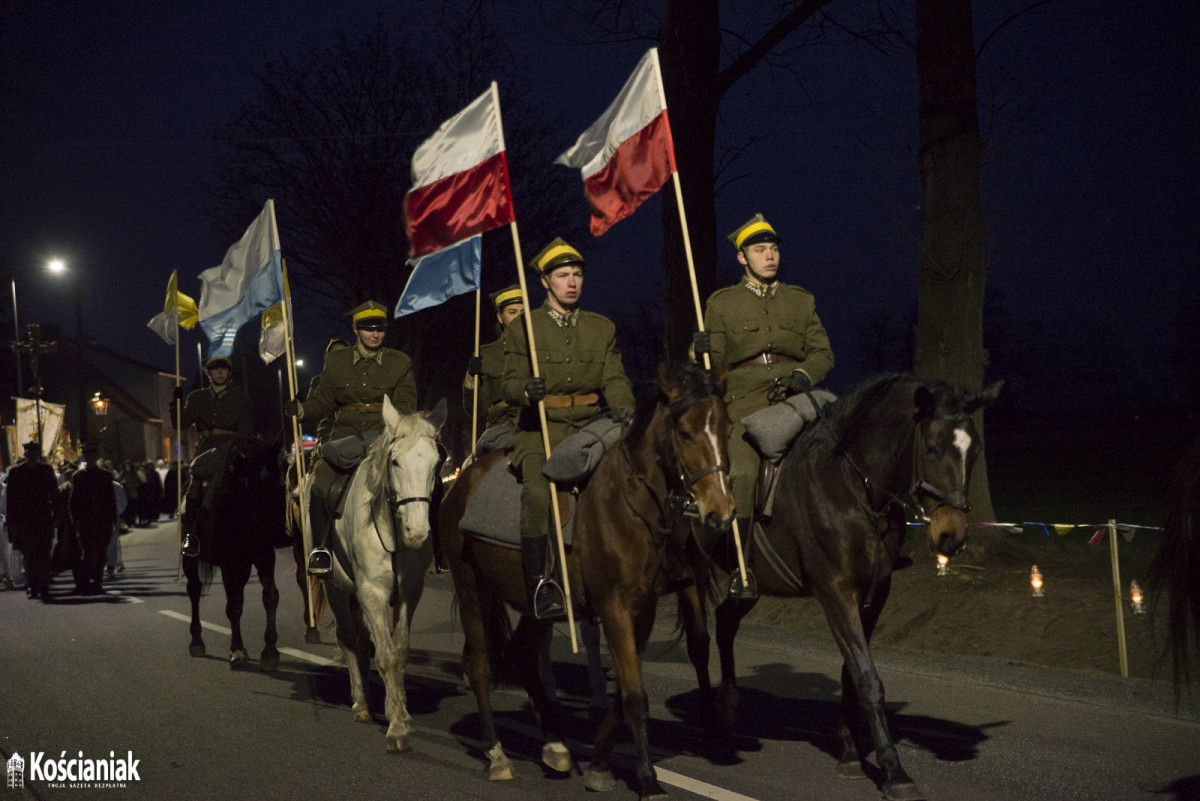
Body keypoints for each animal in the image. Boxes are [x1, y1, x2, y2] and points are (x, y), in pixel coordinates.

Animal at [183, 438, 289, 671]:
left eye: (278, 481)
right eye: (251, 483)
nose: (273, 530)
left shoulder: (264, 556)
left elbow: (270, 597)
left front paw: (270, 651)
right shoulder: (229, 562)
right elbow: (233, 606)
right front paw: (237, 650)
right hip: (190, 558)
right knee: (194, 589)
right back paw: (197, 641)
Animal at [304, 393, 446, 753]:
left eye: (436, 463)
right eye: (394, 462)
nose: (417, 533)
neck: (390, 528)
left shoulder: (409, 592)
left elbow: (400, 650)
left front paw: (401, 713)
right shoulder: (371, 592)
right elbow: (385, 654)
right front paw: (397, 727)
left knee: (361, 639)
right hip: (335, 588)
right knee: (348, 639)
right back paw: (361, 703)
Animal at [441, 362, 734, 796]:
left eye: (727, 428)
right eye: (684, 433)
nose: (720, 513)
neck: (630, 506)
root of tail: (464, 477)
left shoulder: (642, 611)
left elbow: (627, 692)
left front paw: (598, 764)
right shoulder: (613, 609)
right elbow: (635, 696)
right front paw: (647, 779)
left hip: (536, 605)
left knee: (523, 655)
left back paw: (555, 745)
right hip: (471, 587)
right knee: (479, 666)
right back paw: (497, 754)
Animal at [700, 376, 1003, 801]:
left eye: (973, 449)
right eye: (932, 447)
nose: (952, 537)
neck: (852, 486)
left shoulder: (875, 593)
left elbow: (851, 674)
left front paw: (849, 752)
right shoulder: (835, 591)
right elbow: (867, 678)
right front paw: (894, 771)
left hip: (748, 587)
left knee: (726, 622)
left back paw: (726, 709)